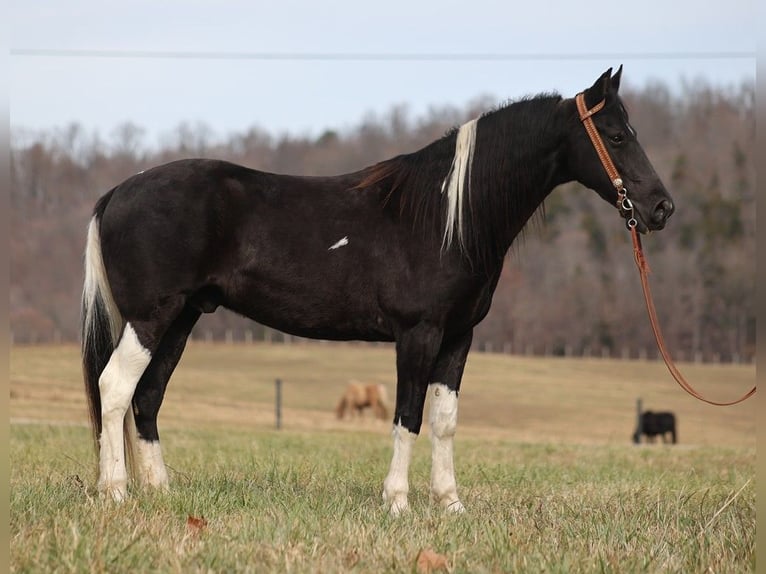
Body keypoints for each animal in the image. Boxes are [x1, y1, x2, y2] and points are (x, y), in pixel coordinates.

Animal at [81, 66, 676, 512]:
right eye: (617, 136)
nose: (661, 208)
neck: (446, 217)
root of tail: (117, 192)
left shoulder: (458, 337)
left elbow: (444, 420)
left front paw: (450, 503)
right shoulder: (417, 334)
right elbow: (407, 416)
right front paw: (397, 502)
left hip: (181, 320)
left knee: (147, 397)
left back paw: (161, 493)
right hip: (151, 318)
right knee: (115, 388)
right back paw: (115, 493)